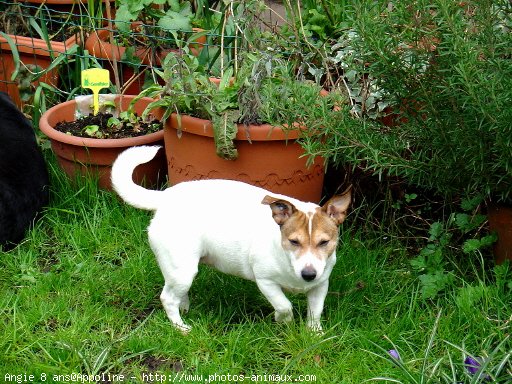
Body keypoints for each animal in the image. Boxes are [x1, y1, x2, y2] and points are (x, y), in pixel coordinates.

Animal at [112, 146, 352, 332]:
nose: (308, 274)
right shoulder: (266, 282)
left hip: (180, 271)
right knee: (167, 298)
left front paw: (314, 334)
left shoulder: (321, 285)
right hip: (182, 269)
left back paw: (185, 308)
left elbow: (315, 311)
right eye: (294, 242)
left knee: (176, 293)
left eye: (324, 242)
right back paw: (181, 328)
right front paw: (283, 321)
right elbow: (284, 306)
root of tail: (166, 197)